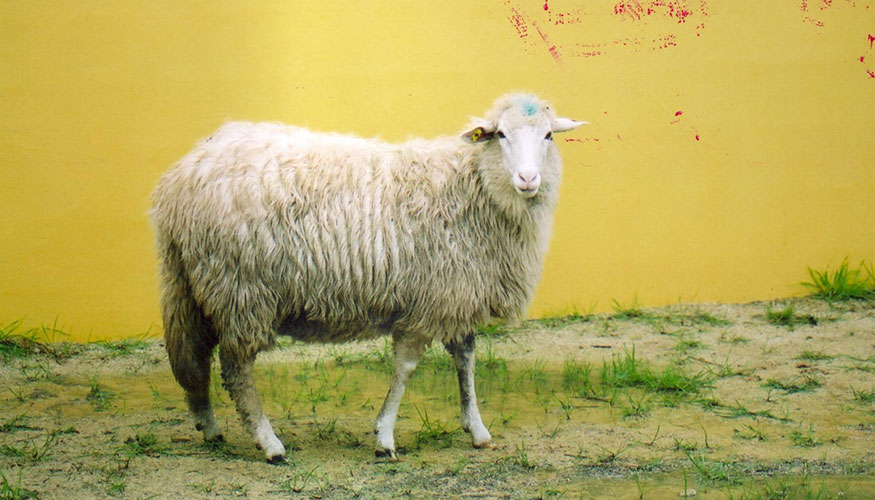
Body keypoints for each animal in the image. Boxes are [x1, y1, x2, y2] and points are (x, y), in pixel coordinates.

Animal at [150, 93, 584, 462]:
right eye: (501, 134)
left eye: (548, 135)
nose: (528, 179)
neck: (473, 187)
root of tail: (180, 179)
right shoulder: (429, 300)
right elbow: (406, 368)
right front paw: (385, 437)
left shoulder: (456, 294)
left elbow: (465, 360)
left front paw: (476, 429)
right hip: (240, 289)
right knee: (236, 368)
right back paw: (269, 443)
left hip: (193, 285)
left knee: (195, 355)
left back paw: (209, 426)